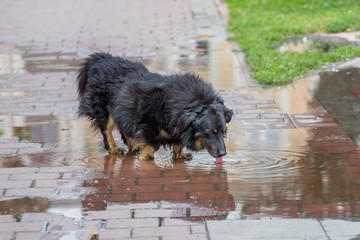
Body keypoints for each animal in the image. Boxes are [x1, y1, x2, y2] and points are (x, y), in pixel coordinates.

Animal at [76, 53, 233, 161]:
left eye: (223, 131)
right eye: (210, 132)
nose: (223, 153)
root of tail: (99, 58)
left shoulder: (177, 125)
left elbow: (179, 143)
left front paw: (180, 155)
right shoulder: (150, 125)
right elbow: (153, 144)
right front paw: (146, 156)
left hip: (122, 107)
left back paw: (133, 145)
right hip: (103, 108)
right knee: (106, 129)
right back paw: (114, 148)